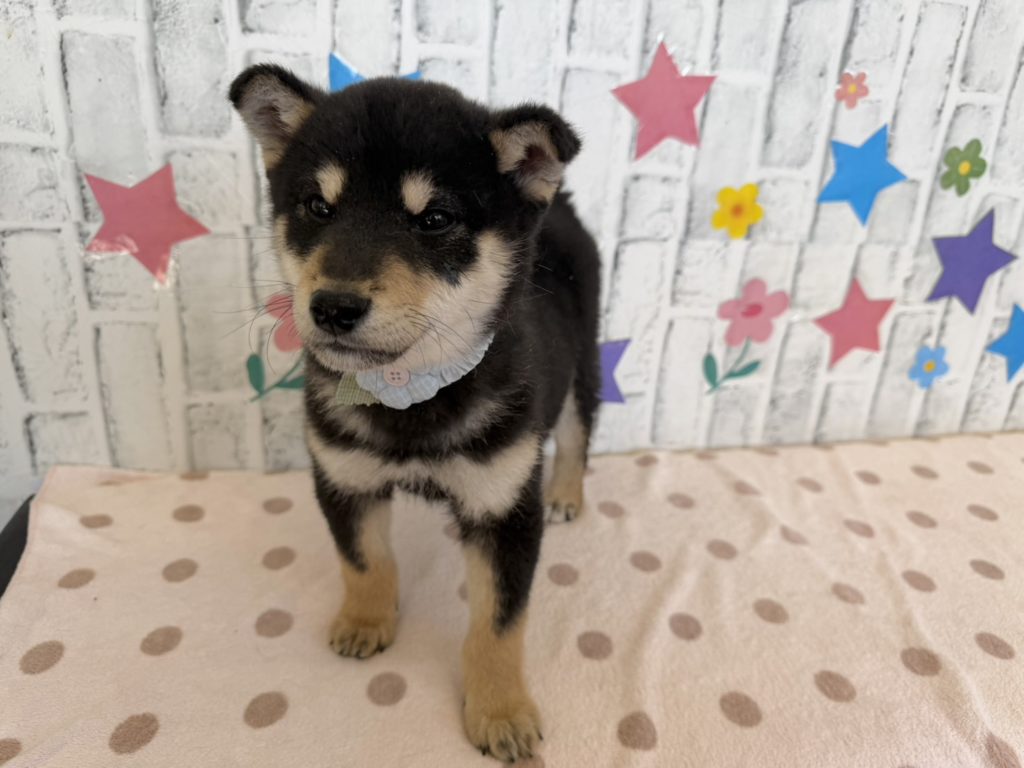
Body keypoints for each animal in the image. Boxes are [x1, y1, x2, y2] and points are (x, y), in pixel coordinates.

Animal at [230, 64, 601, 762]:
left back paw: (569, 493)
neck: (412, 393)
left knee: (576, 438)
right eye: (317, 207)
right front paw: (366, 621)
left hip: (584, 369)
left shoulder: (506, 509)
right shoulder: (343, 478)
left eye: (434, 218)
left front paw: (501, 712)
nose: (333, 307)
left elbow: (498, 624)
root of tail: (559, 206)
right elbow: (365, 562)